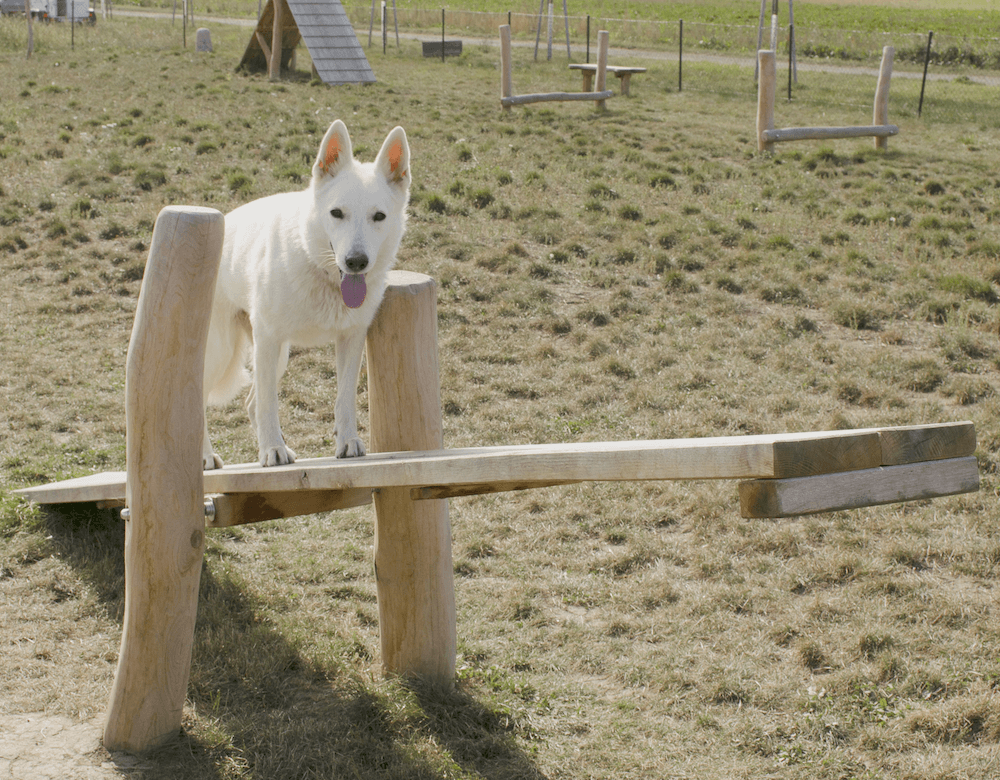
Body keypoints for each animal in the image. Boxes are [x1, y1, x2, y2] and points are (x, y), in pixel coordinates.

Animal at [202, 119, 410, 466]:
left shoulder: (351, 339)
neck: (317, 264)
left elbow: (344, 398)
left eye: (378, 216)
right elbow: (270, 404)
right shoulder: (268, 338)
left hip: (276, 356)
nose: (356, 262)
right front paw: (271, 450)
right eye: (337, 213)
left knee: (251, 402)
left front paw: (347, 441)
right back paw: (208, 456)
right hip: (224, 352)